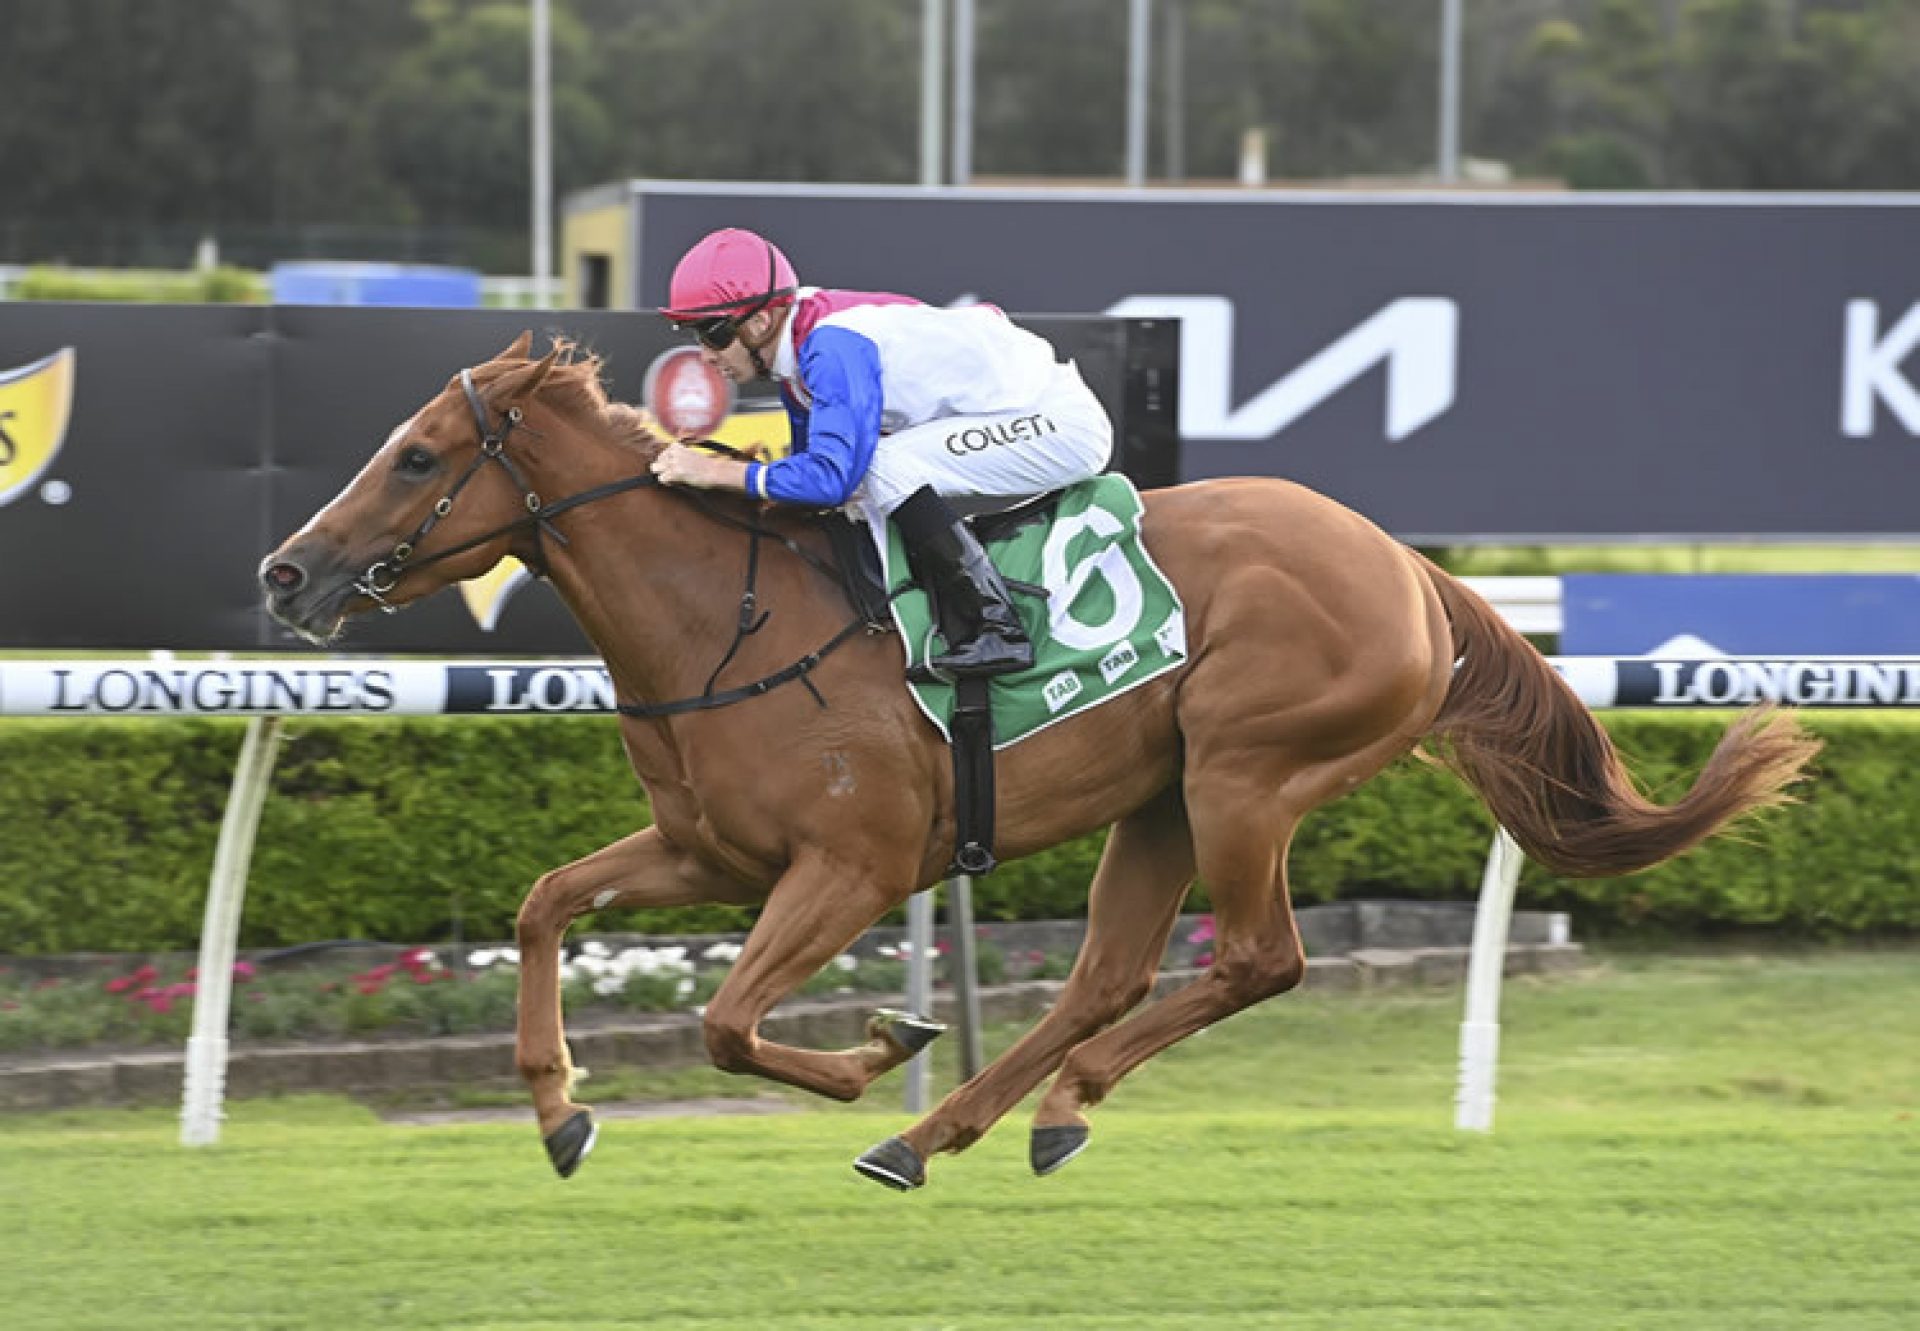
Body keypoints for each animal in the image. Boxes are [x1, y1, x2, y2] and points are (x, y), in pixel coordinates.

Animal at [263, 338, 1820, 1190]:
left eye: (415, 458)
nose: (288, 571)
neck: (730, 617)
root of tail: (1411, 569)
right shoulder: (710, 848)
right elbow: (541, 904)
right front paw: (560, 1109)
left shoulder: (851, 864)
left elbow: (724, 1023)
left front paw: (877, 1042)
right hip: (1163, 797)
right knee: (1109, 976)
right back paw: (963, 1127)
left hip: (1246, 773)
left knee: (1258, 958)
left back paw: (993, 1109)